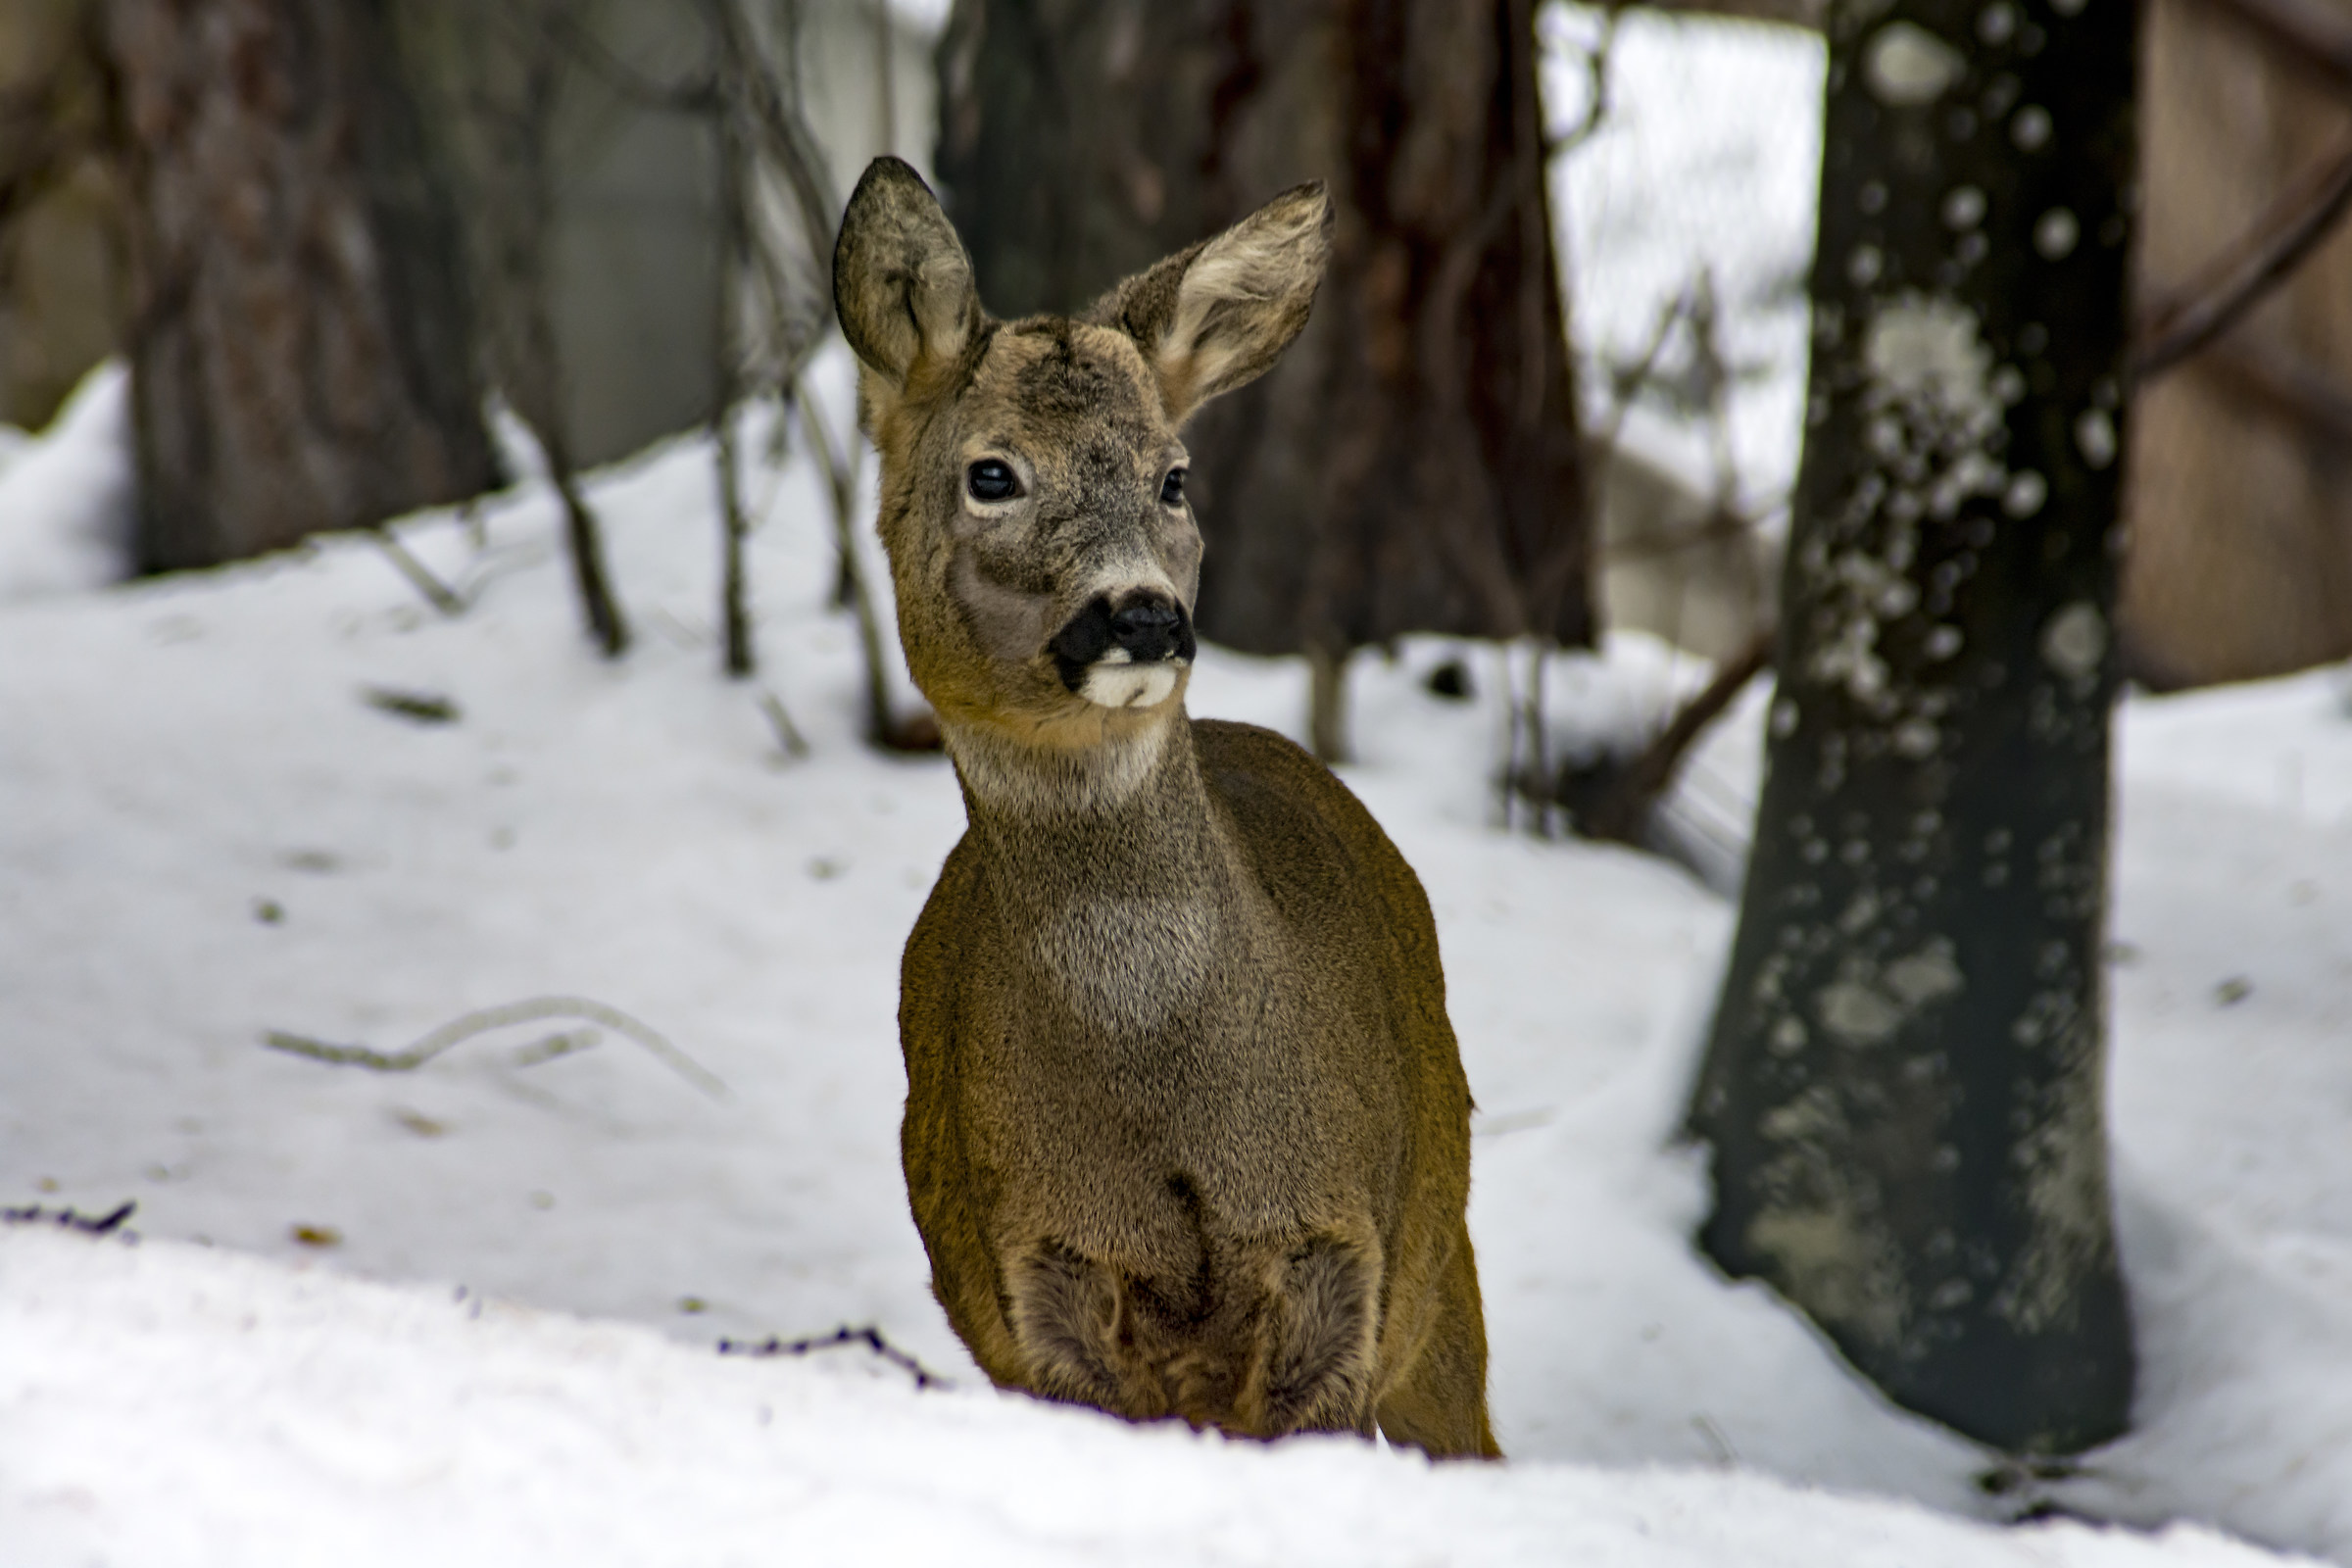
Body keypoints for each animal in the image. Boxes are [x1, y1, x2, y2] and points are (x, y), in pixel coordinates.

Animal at [832, 155, 1499, 1459]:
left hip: (1442, 1249)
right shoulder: (1036, 1282)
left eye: (1174, 478)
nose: (1141, 615)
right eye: (992, 473)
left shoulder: (1342, 1253)